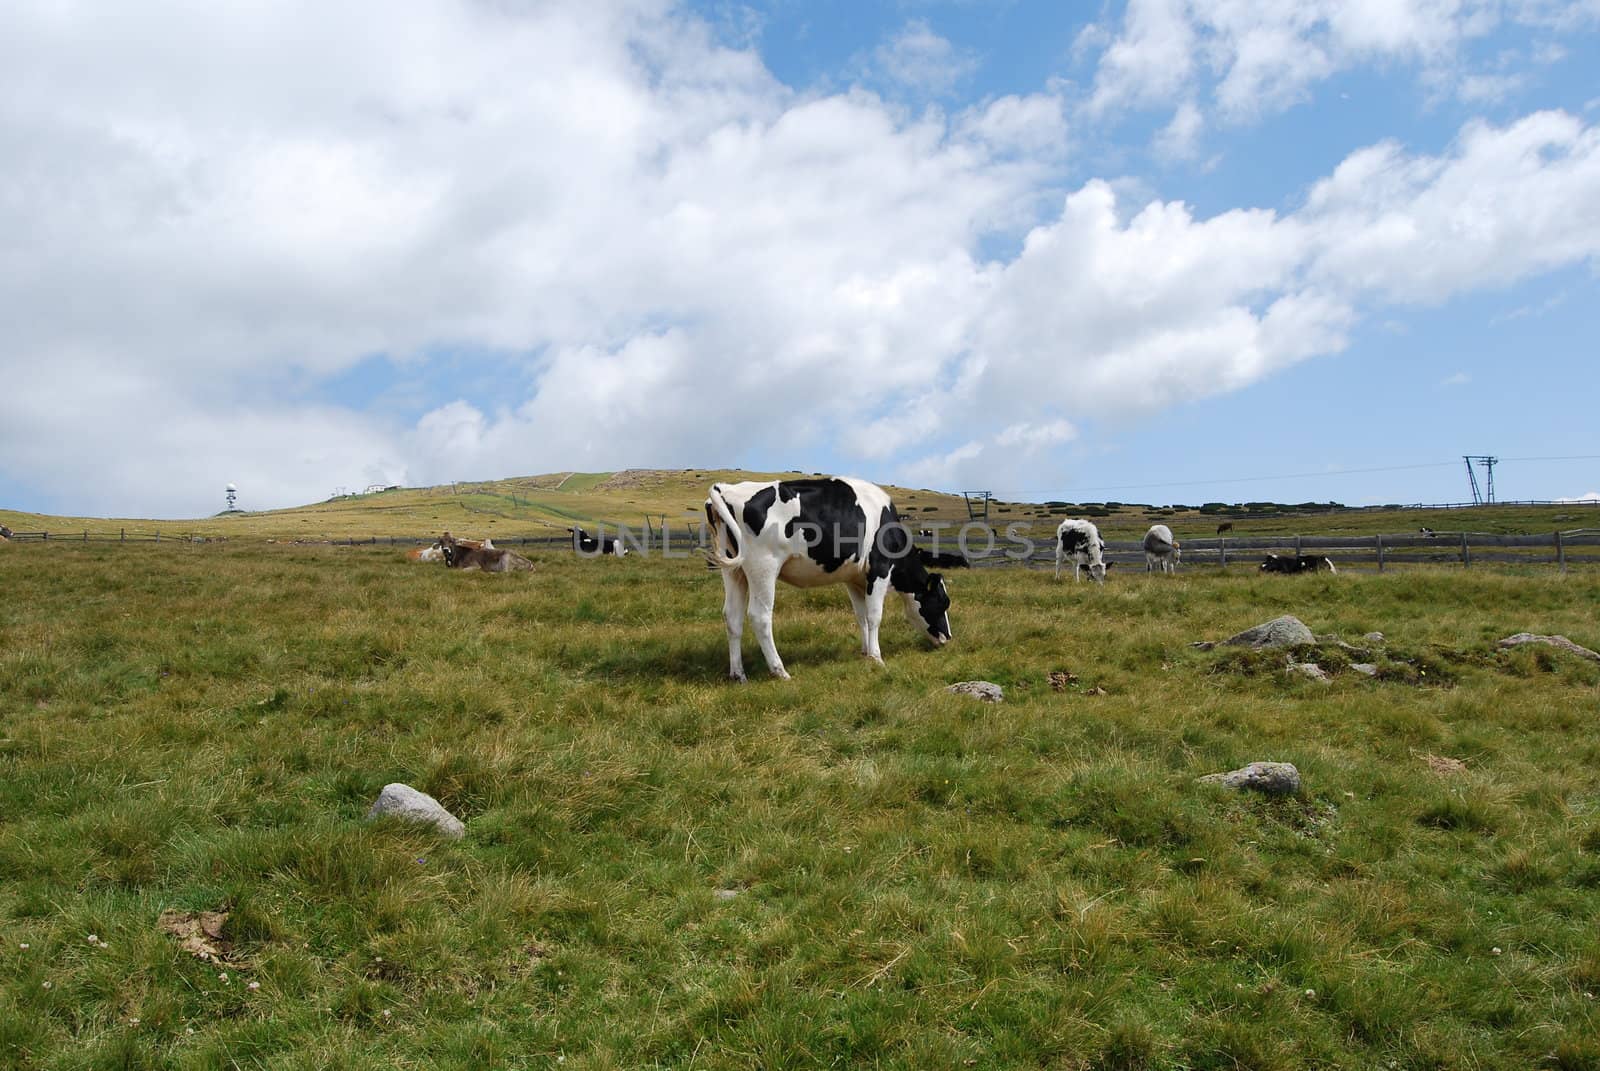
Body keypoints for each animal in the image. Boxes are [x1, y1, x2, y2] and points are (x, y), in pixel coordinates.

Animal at [704, 477, 947, 681]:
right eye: (942, 602)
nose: (948, 637)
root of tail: (727, 488)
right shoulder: (879, 570)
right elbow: (875, 616)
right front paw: (877, 658)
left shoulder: (854, 578)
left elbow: (861, 616)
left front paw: (865, 652)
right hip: (763, 566)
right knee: (759, 616)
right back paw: (780, 671)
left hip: (734, 571)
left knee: (732, 616)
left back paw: (738, 674)